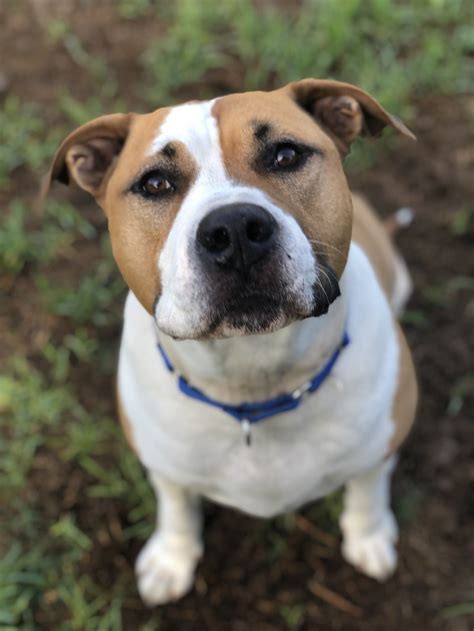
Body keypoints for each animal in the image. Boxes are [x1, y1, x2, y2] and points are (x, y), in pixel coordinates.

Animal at [46, 79, 416, 608]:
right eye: (155, 184)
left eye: (286, 155)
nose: (235, 229)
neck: (252, 378)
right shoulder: (164, 463)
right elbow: (176, 506)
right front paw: (172, 559)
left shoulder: (380, 446)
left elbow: (367, 492)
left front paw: (369, 538)